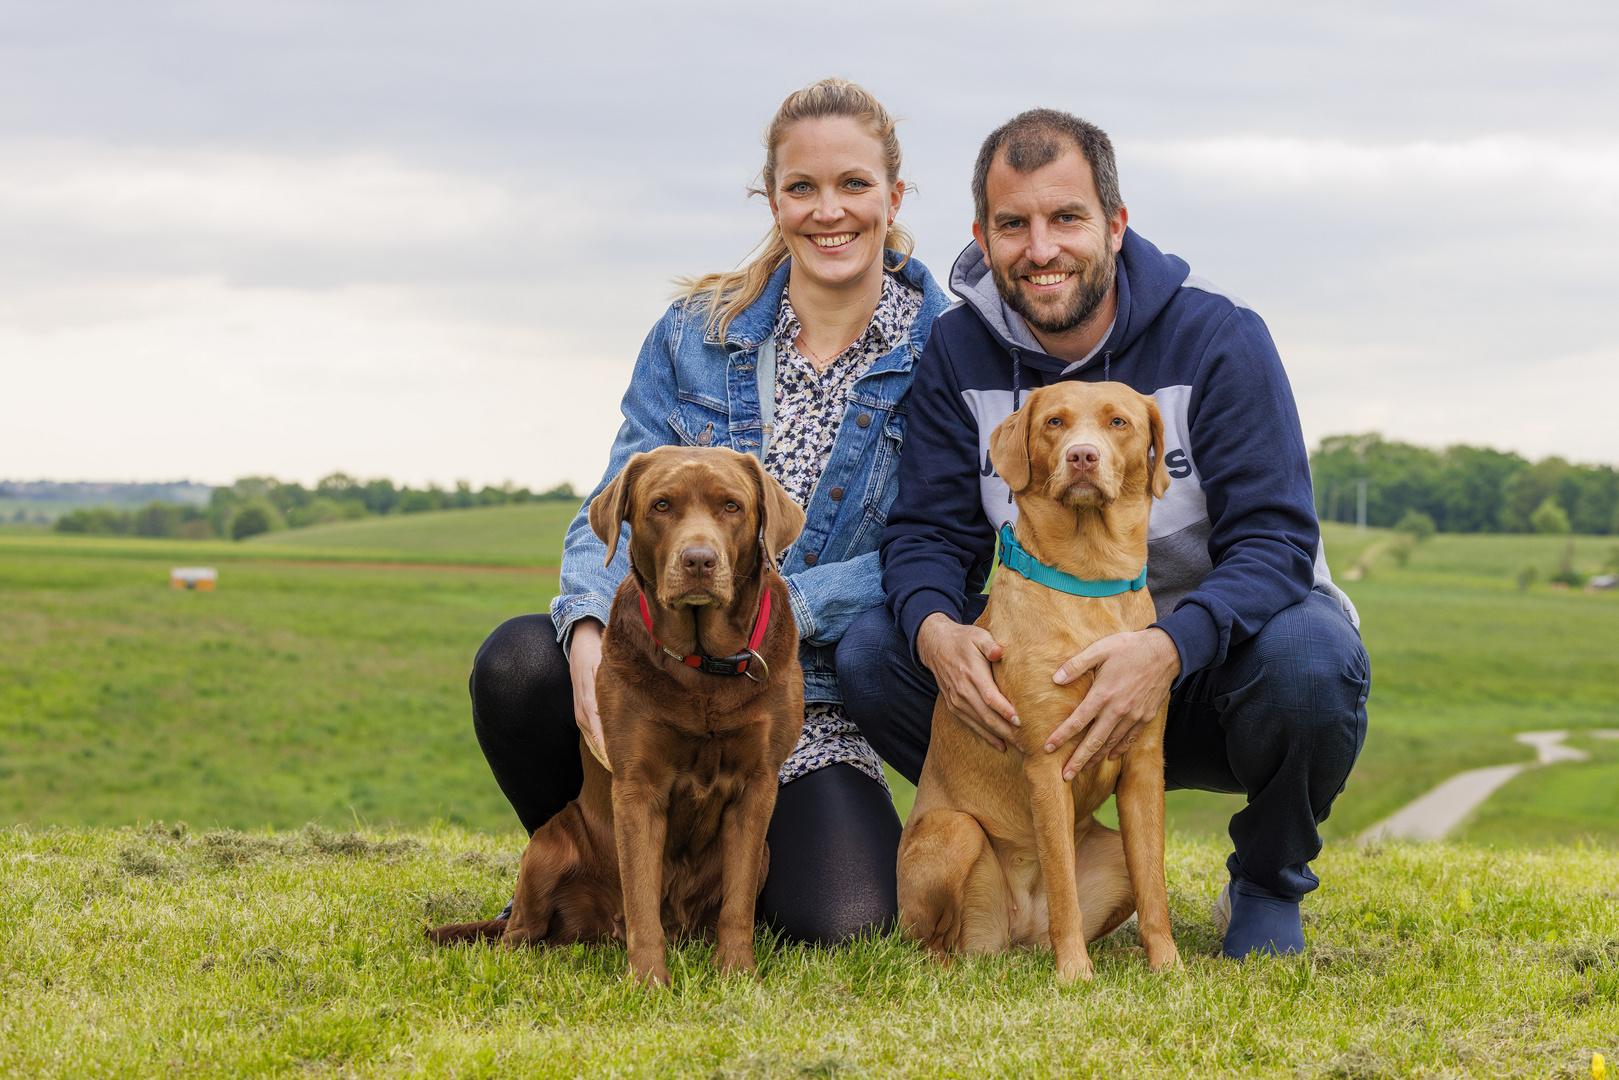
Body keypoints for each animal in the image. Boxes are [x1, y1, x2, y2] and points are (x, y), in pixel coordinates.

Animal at [430, 446, 809, 990]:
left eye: (732, 506)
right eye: (662, 505)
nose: (699, 560)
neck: (702, 667)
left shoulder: (756, 785)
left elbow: (736, 905)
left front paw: (736, 974)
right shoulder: (637, 785)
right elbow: (641, 897)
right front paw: (649, 983)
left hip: (764, 858)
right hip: (548, 848)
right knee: (521, 933)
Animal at [893, 383, 1185, 984]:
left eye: (1118, 422)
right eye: (1054, 422)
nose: (1082, 457)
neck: (1091, 582)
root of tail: (1013, 936)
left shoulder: (1145, 764)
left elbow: (1155, 887)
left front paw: (1167, 965)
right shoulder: (1047, 764)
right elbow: (1062, 885)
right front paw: (1074, 974)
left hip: (1113, 857)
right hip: (956, 833)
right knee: (927, 943)